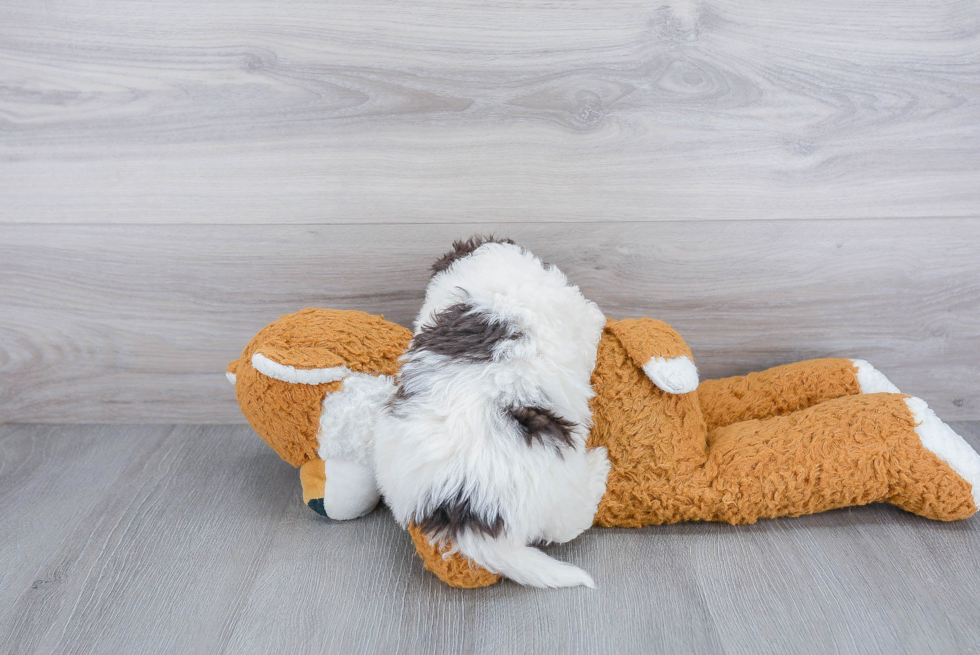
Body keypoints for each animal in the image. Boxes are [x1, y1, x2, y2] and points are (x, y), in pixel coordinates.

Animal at [376, 237, 612, 588]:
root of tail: (468, 516)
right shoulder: (571, 315)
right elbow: (589, 320)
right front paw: (598, 316)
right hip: (557, 486)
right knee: (568, 523)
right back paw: (599, 467)